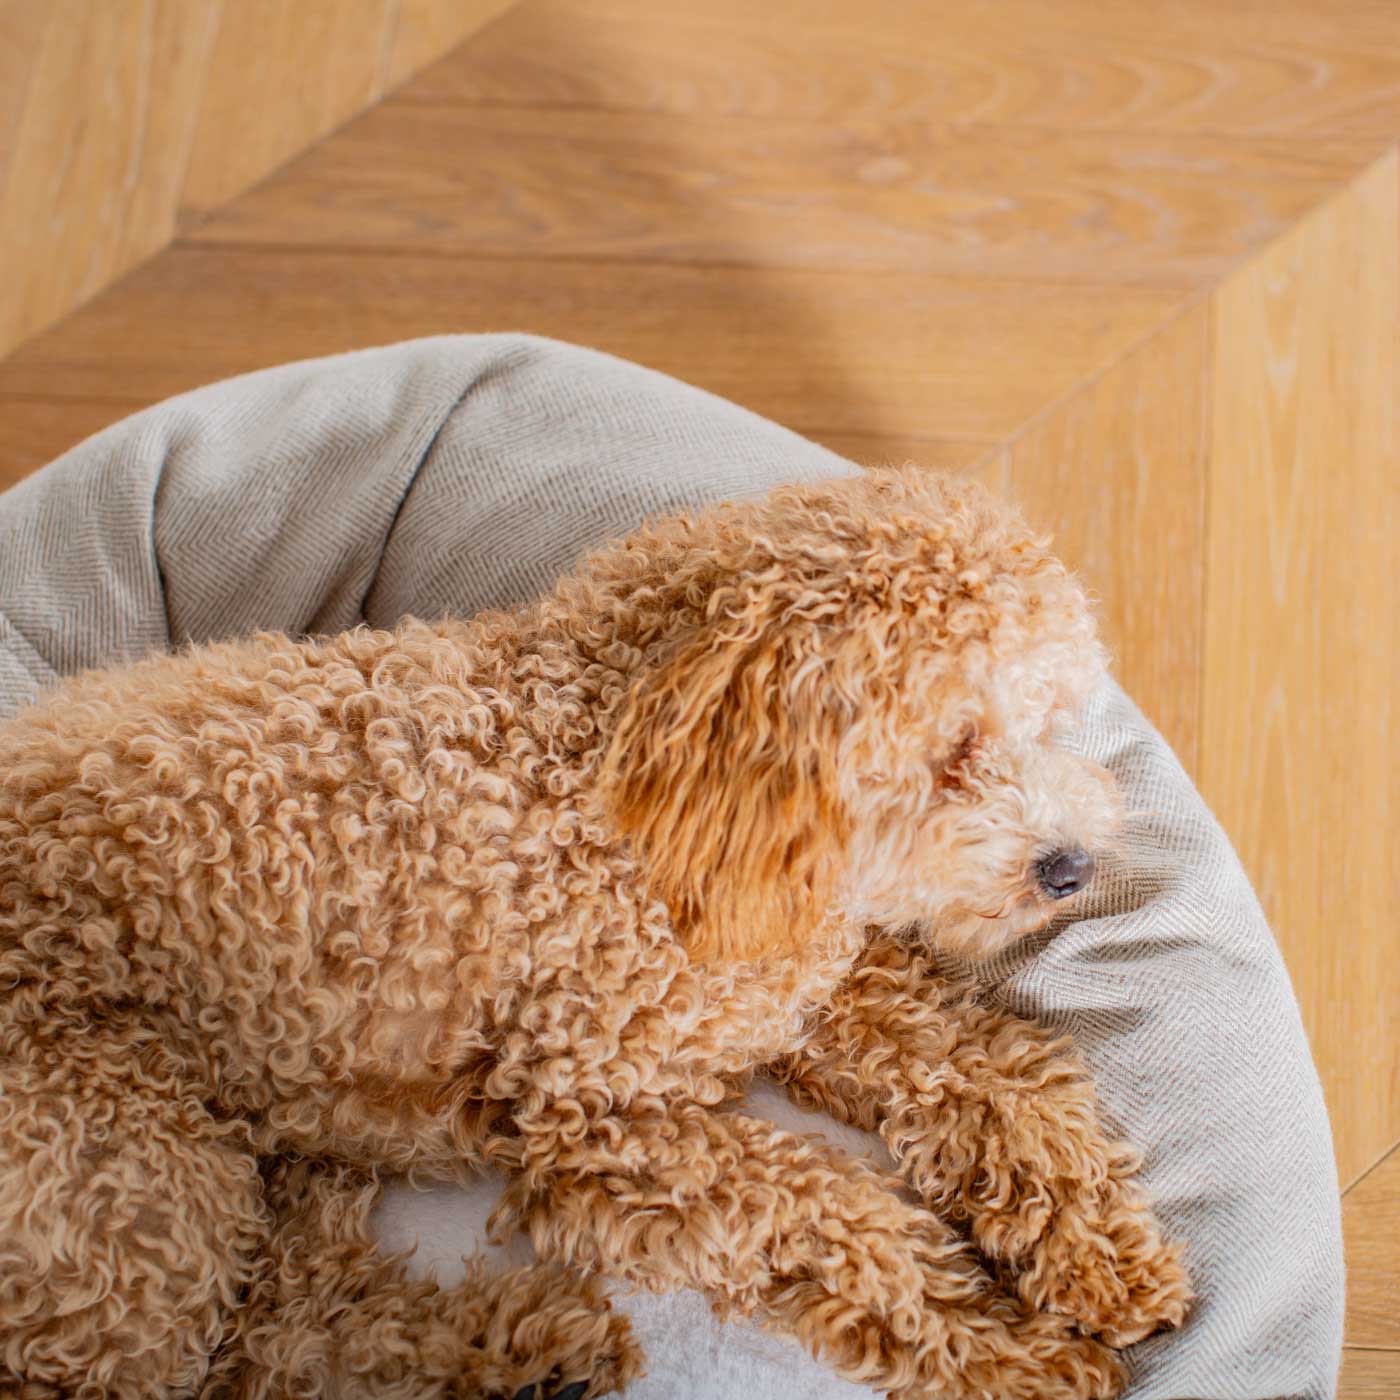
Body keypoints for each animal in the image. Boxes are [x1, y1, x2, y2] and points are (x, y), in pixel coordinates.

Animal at [0, 470, 1192, 1400]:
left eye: (1050, 720)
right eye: (953, 749)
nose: (1069, 866)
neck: (609, 757)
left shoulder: (784, 978)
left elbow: (985, 1065)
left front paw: (1096, 1249)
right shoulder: (605, 1127)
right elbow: (835, 1215)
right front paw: (1006, 1345)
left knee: (275, 1338)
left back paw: (522, 1355)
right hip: (132, 1187)